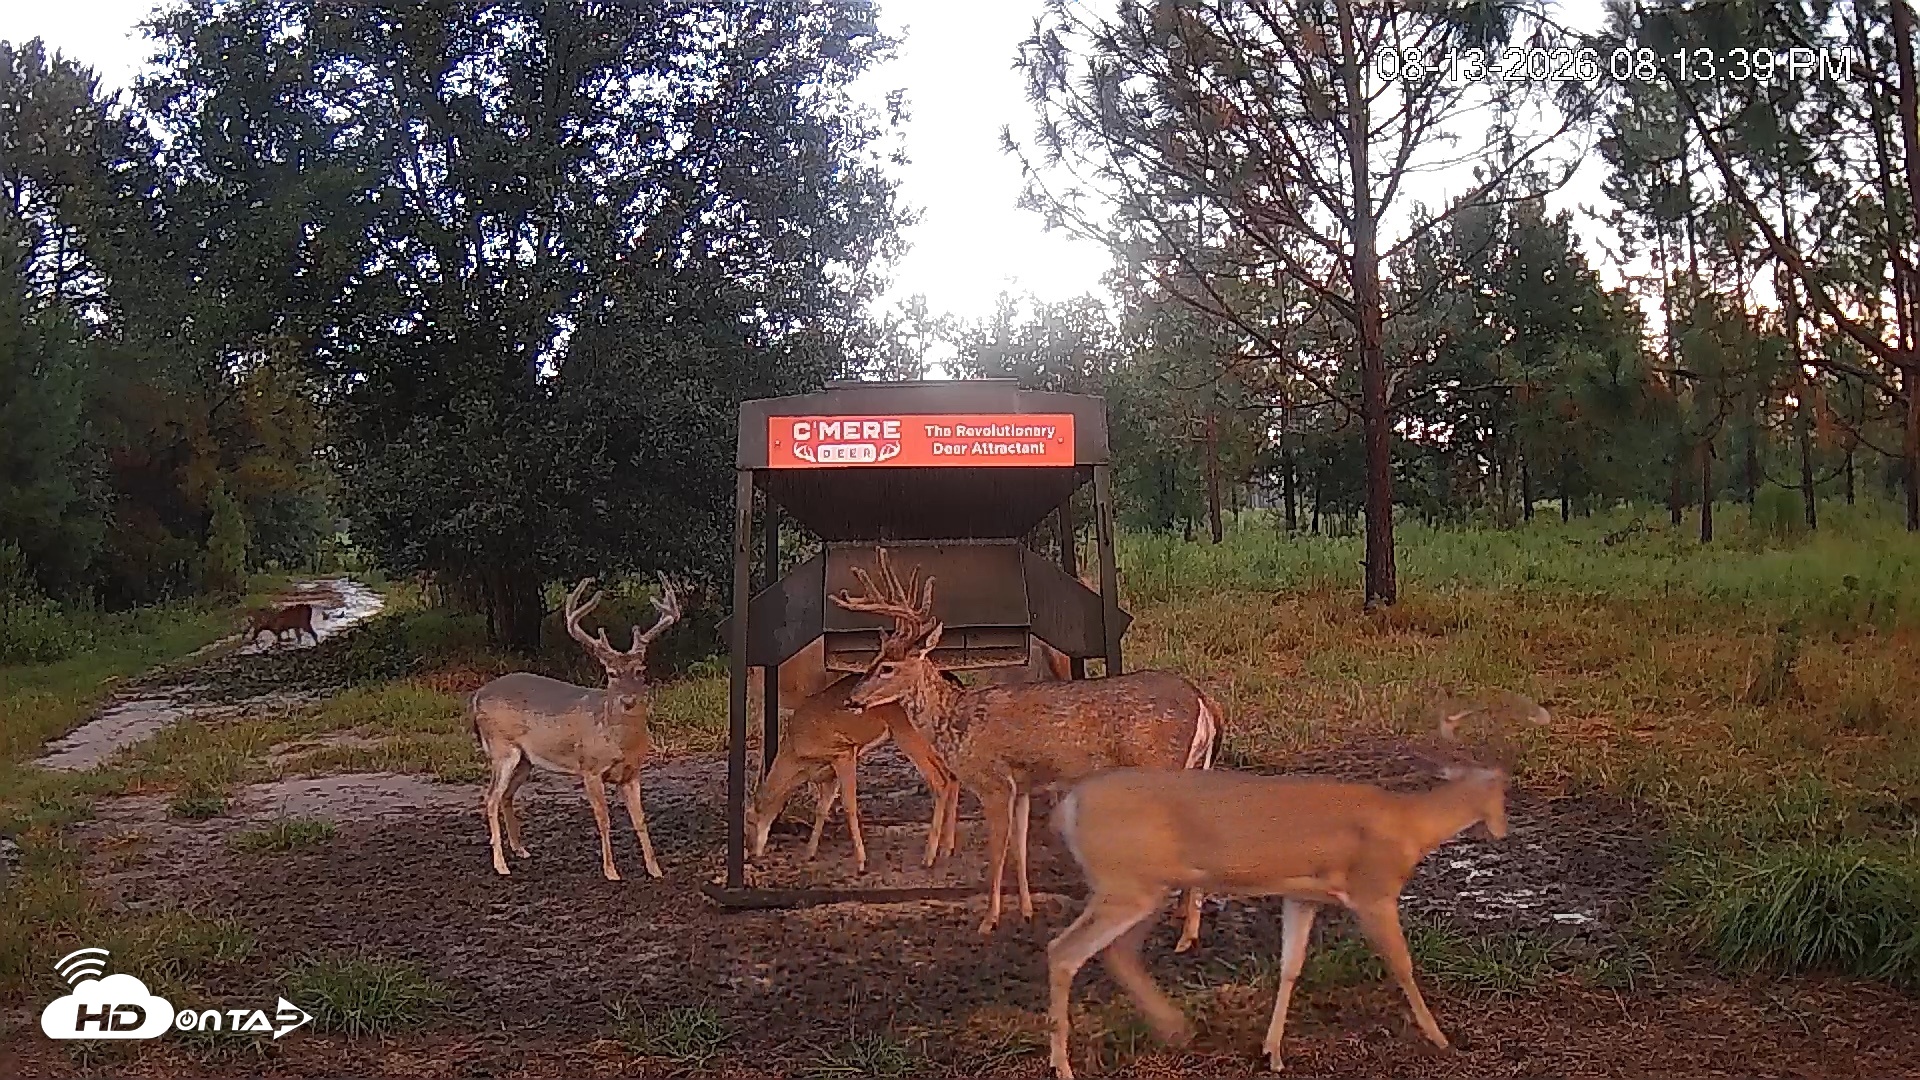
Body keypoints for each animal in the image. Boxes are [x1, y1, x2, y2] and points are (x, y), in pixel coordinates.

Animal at [467, 573, 683, 882]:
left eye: (640, 670)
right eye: (611, 673)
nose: (629, 700)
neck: (617, 740)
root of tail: (476, 696)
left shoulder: (632, 772)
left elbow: (641, 820)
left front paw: (655, 869)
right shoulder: (590, 768)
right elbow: (603, 819)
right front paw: (611, 871)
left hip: (525, 759)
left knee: (506, 795)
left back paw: (521, 850)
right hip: (501, 747)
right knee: (491, 798)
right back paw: (501, 864)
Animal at [835, 556, 1222, 949]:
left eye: (887, 667)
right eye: (873, 658)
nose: (852, 699)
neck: (956, 722)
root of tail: (1203, 701)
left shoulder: (993, 782)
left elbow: (998, 852)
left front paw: (988, 921)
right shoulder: (1021, 786)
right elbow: (1019, 850)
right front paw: (1025, 911)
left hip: (1160, 765)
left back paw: (1185, 935)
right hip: (1193, 767)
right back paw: (1182, 922)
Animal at [1041, 718, 1509, 1080]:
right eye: (1504, 790)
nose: (1502, 832)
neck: (1411, 826)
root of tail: (1069, 807)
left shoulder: (1302, 896)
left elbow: (1290, 967)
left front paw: (1273, 1053)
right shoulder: (1374, 890)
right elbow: (1403, 964)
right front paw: (1441, 1038)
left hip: (1145, 886)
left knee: (1117, 952)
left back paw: (1177, 1029)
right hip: (1124, 883)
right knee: (1063, 951)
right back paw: (1062, 1065)